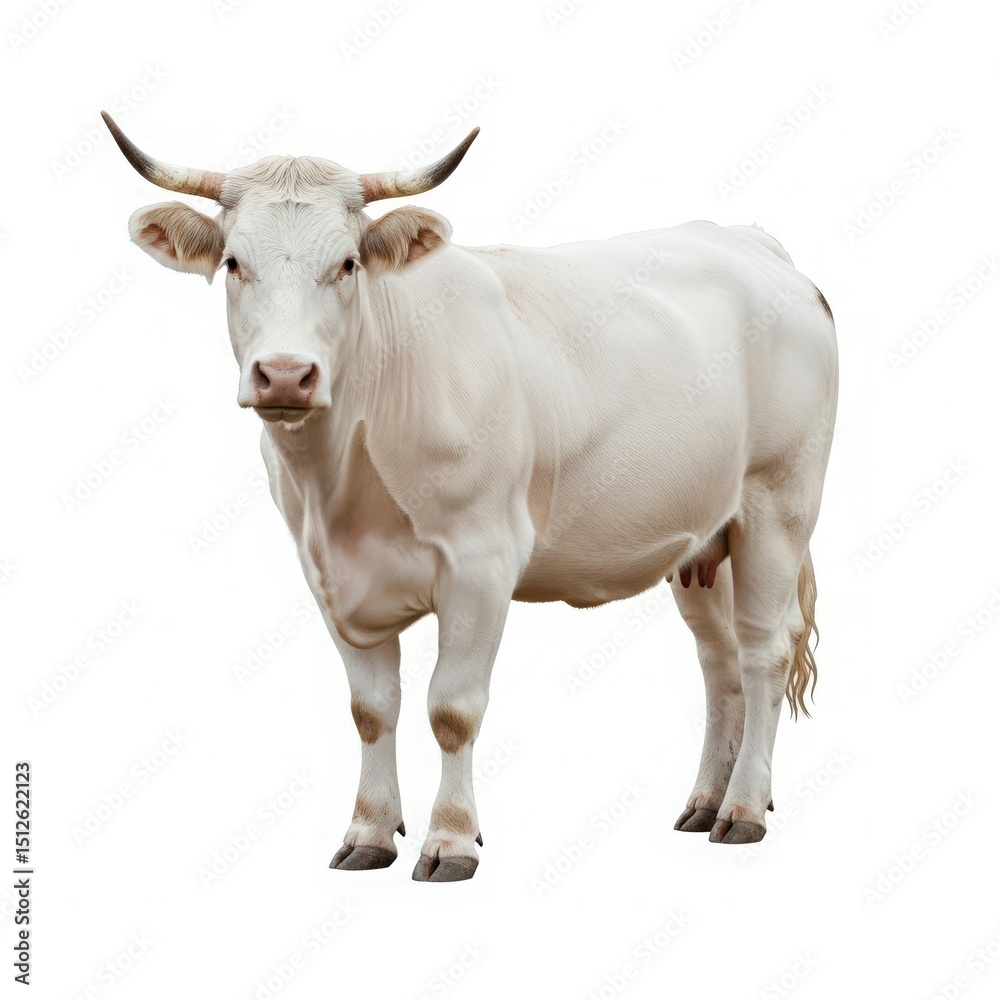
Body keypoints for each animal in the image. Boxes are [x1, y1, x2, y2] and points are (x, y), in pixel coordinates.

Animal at [102, 111, 838, 882]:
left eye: (348, 264)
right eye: (234, 263)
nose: (284, 375)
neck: (345, 486)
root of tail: (751, 241)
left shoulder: (481, 562)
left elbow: (452, 709)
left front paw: (451, 840)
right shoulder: (327, 572)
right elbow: (371, 709)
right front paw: (369, 832)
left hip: (779, 507)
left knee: (763, 652)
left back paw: (744, 809)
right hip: (703, 536)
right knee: (718, 659)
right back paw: (704, 800)